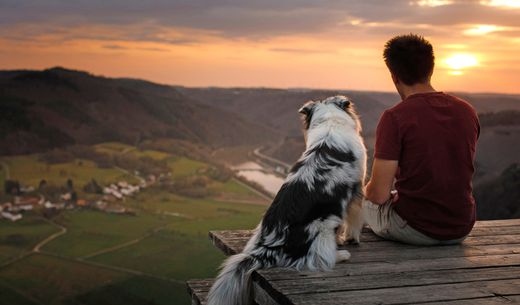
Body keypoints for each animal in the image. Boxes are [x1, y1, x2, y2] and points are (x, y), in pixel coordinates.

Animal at [206, 95, 366, 304]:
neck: (331, 122)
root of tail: (269, 248)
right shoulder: (356, 192)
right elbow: (353, 221)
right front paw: (350, 239)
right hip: (324, 226)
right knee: (319, 258)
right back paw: (341, 255)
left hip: (258, 231)